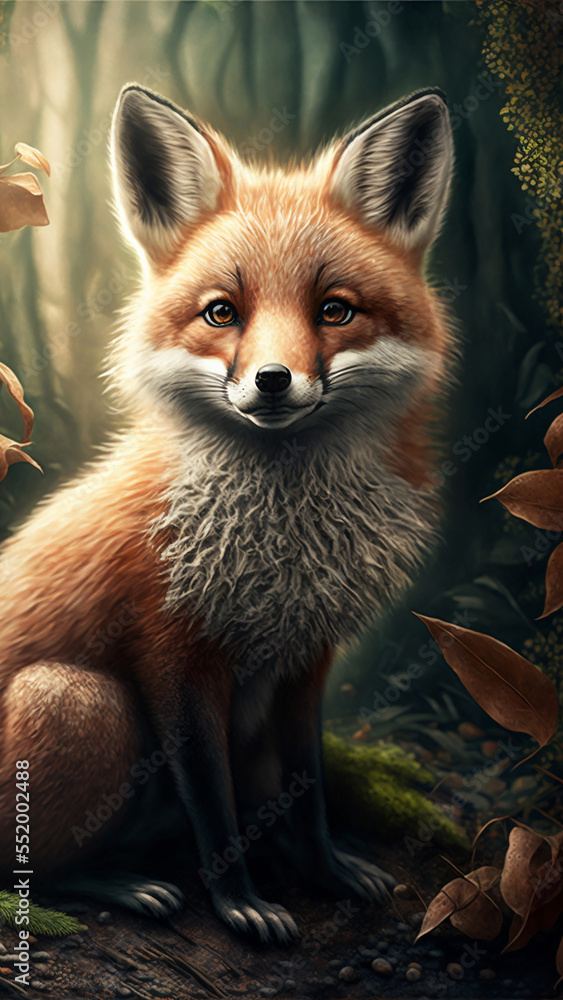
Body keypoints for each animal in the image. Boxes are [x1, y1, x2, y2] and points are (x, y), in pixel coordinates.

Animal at [0, 84, 453, 942]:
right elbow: (213, 806)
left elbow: (305, 786)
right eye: (221, 312)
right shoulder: (172, 654)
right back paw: (121, 885)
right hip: (76, 700)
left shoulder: (307, 657)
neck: (283, 550)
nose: (273, 381)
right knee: (27, 870)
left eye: (334, 311)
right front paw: (240, 903)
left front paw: (327, 869)